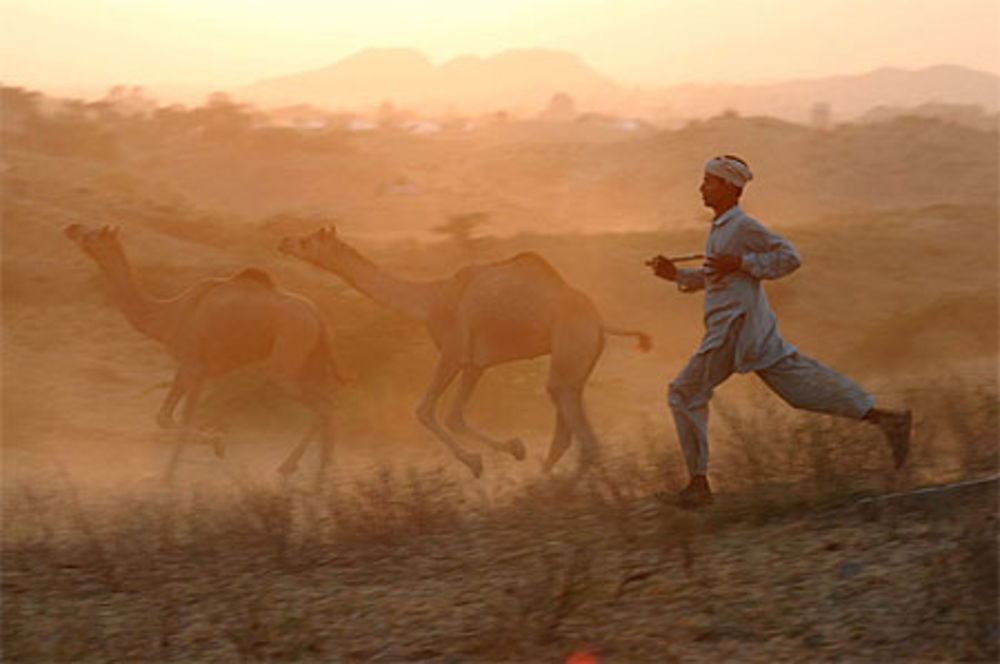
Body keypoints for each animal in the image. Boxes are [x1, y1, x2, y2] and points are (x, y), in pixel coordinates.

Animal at [63, 226, 344, 480]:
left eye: (92, 234)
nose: (71, 228)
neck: (167, 316)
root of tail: (320, 319)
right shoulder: (193, 369)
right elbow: (169, 417)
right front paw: (214, 444)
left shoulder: (194, 365)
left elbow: (176, 417)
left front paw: (172, 474)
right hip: (309, 362)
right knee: (327, 405)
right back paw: (311, 471)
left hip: (285, 364)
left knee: (324, 406)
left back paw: (313, 473)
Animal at [278, 227, 652, 478]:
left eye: (307, 241)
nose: (284, 241)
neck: (430, 300)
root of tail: (601, 320)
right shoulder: (476, 363)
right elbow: (455, 415)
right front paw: (514, 448)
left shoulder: (454, 351)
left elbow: (425, 410)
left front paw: (476, 462)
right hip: (579, 361)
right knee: (569, 420)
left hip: (570, 345)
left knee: (575, 423)